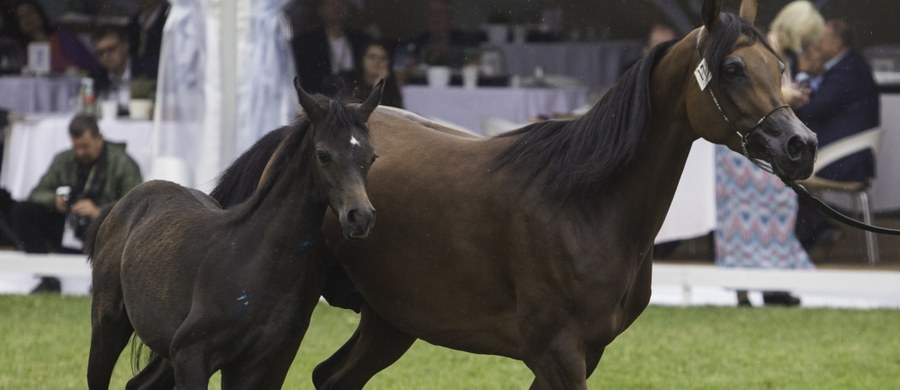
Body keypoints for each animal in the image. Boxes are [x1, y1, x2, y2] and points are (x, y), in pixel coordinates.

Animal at [88, 80, 386, 390]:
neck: (253, 262)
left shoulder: (248, 367)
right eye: (323, 154)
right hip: (108, 325)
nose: (360, 217)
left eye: (371, 156)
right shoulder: (190, 356)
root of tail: (125, 201)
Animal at [216, 0, 816, 386]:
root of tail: (300, 128)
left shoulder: (583, 355)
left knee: (332, 377)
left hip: (391, 320)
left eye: (780, 65)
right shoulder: (557, 355)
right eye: (732, 67)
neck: (586, 205)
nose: (800, 145)